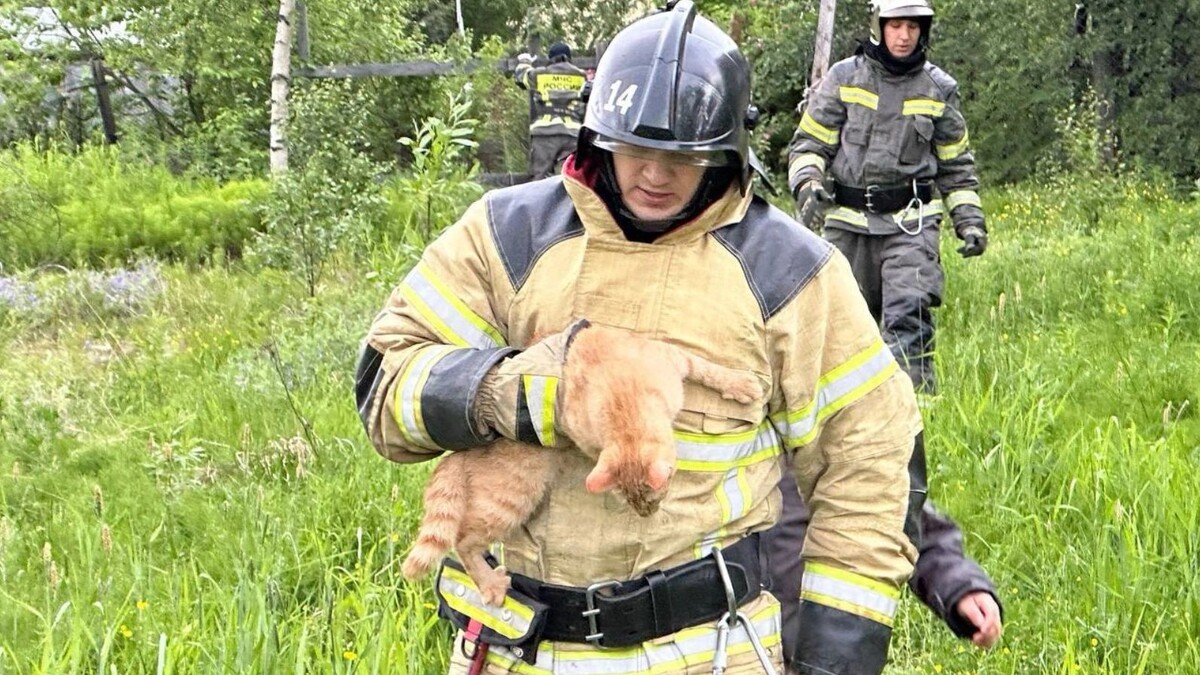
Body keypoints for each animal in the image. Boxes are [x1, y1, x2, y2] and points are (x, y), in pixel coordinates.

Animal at [400, 319, 758, 605]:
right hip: (507, 502)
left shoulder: (672, 357)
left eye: (651, 498)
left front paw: (739, 383)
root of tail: (458, 454)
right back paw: (490, 584)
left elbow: (707, 368)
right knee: (463, 541)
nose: (647, 514)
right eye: (637, 500)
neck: (623, 399)